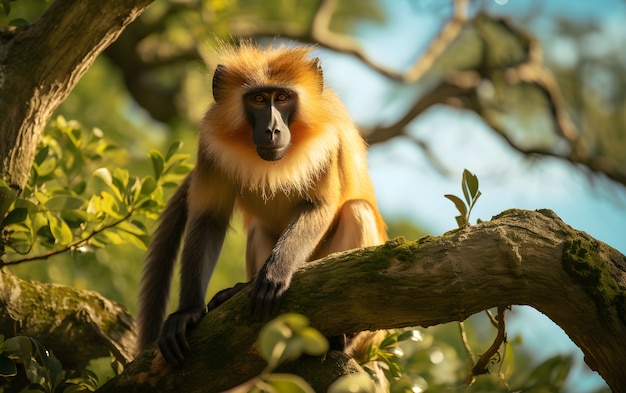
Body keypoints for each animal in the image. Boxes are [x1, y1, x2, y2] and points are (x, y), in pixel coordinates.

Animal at [138, 41, 386, 370]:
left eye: (281, 98)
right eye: (258, 99)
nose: (271, 129)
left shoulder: (327, 140)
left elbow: (319, 205)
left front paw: (274, 273)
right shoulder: (211, 144)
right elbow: (208, 219)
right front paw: (188, 312)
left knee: (358, 210)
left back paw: (342, 338)